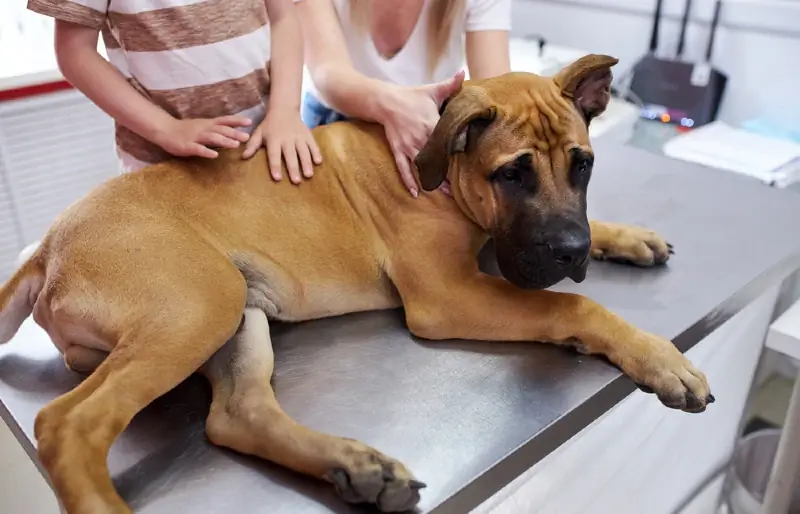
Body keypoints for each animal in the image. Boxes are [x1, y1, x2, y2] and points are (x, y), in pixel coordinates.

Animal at [0, 54, 712, 510]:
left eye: (583, 165)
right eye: (513, 174)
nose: (569, 251)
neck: (441, 164)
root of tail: (46, 250)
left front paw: (626, 236)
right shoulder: (447, 297)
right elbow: (574, 307)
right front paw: (657, 354)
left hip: (235, 314)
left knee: (236, 415)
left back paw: (354, 465)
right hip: (197, 306)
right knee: (68, 424)